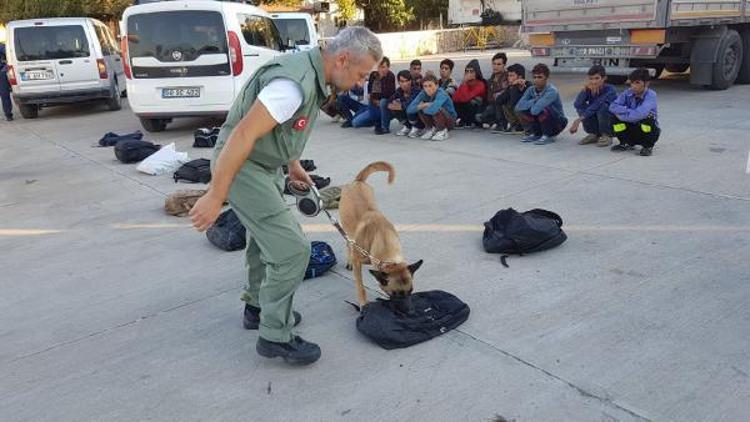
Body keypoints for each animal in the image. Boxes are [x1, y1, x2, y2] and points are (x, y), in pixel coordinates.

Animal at [340, 162, 424, 310]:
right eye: (396, 294)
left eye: (411, 291)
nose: (411, 312)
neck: (382, 238)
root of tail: (358, 181)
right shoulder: (358, 261)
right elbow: (360, 287)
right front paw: (363, 304)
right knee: (348, 242)